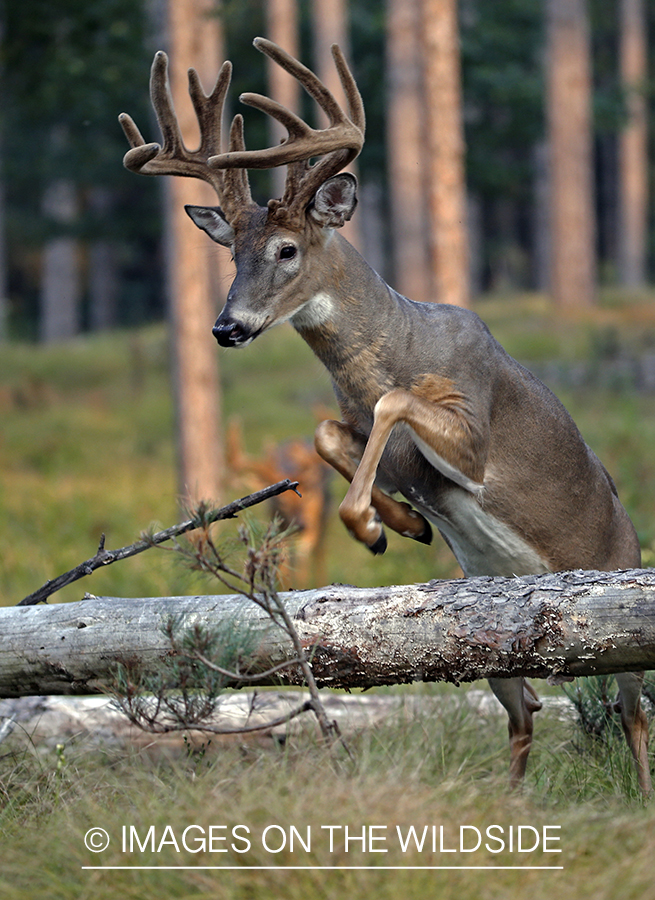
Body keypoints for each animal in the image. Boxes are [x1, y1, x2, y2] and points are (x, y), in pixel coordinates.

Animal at [121, 38, 652, 792]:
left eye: (286, 249)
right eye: (231, 252)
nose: (226, 327)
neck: (396, 343)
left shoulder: (473, 422)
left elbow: (393, 402)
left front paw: (371, 523)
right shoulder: (362, 431)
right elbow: (327, 433)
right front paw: (396, 524)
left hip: (619, 611)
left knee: (631, 711)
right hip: (495, 640)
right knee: (526, 711)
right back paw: (511, 804)